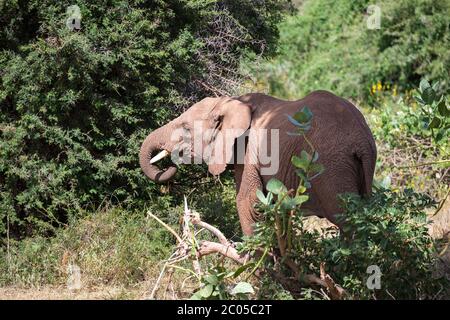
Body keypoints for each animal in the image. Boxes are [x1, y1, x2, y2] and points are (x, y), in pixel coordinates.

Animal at [139, 90, 378, 235]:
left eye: (186, 128)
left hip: (330, 165)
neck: (231, 102)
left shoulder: (248, 150)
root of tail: (362, 139)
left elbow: (248, 203)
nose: (170, 165)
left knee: (346, 219)